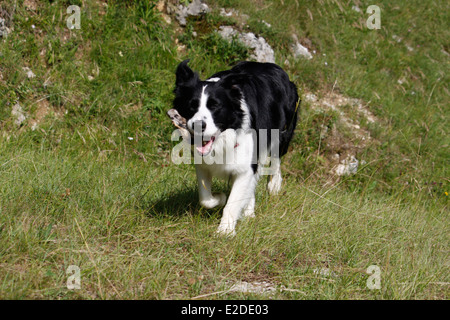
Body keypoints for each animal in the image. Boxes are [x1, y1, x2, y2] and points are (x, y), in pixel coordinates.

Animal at [171, 60, 298, 235]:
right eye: (191, 106)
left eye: (215, 106)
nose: (198, 125)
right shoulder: (202, 165)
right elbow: (205, 199)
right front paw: (220, 198)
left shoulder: (246, 165)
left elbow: (233, 201)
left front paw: (225, 231)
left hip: (283, 132)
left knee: (276, 158)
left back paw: (274, 185)